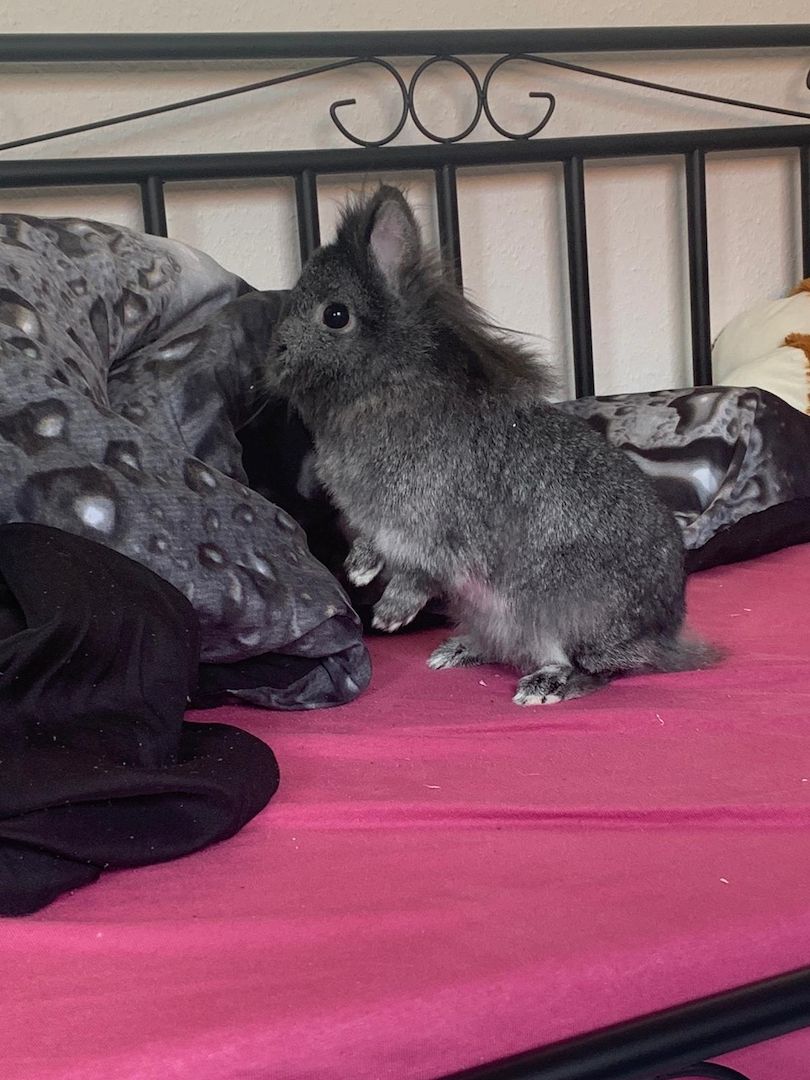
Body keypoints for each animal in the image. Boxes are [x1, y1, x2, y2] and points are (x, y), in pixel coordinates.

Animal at [268, 185, 717, 705]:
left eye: (335, 315)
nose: (272, 358)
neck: (387, 387)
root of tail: (663, 637)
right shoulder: (377, 523)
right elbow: (371, 544)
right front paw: (359, 570)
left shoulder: (434, 529)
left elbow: (418, 573)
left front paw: (389, 614)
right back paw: (457, 652)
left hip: (568, 618)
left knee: (593, 669)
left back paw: (542, 687)